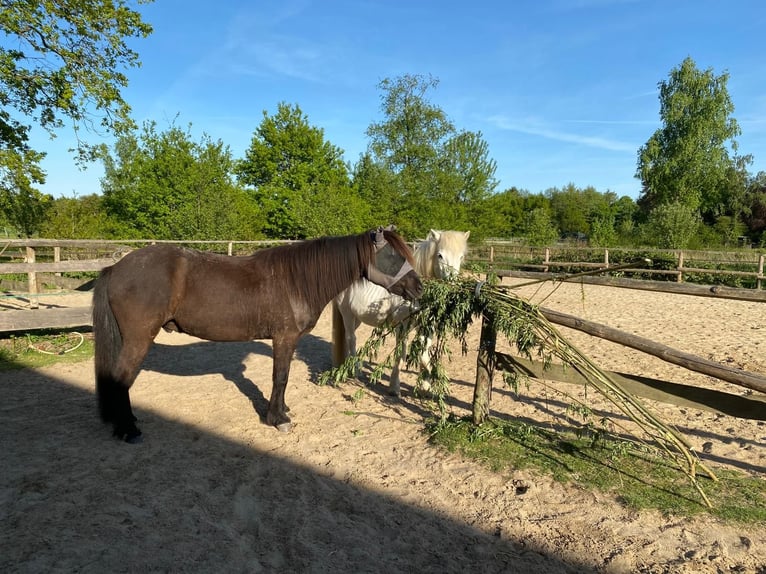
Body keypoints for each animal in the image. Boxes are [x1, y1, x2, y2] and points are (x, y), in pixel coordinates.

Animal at [92, 228, 423, 442]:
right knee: (122, 377)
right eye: (393, 255)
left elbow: (283, 377)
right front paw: (277, 420)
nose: (419, 288)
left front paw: (282, 410)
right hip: (139, 339)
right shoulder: (284, 338)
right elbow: (280, 377)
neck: (296, 281)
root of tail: (116, 267)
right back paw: (128, 430)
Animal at [331, 229, 470, 396]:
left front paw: (426, 386)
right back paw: (355, 370)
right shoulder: (402, 325)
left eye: (461, 256)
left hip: (357, 317)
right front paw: (394, 387)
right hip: (347, 313)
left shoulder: (426, 326)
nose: (451, 284)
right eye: (440, 255)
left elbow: (424, 353)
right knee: (351, 338)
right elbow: (401, 354)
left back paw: (344, 366)